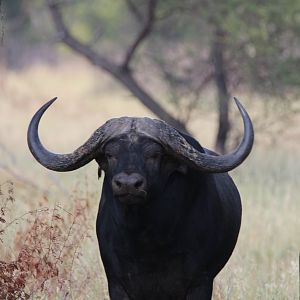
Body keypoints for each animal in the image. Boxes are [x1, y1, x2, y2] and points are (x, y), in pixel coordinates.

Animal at [27, 97, 253, 298]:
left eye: (154, 154)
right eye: (110, 154)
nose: (128, 184)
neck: (146, 238)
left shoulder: (200, 282)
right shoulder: (117, 283)